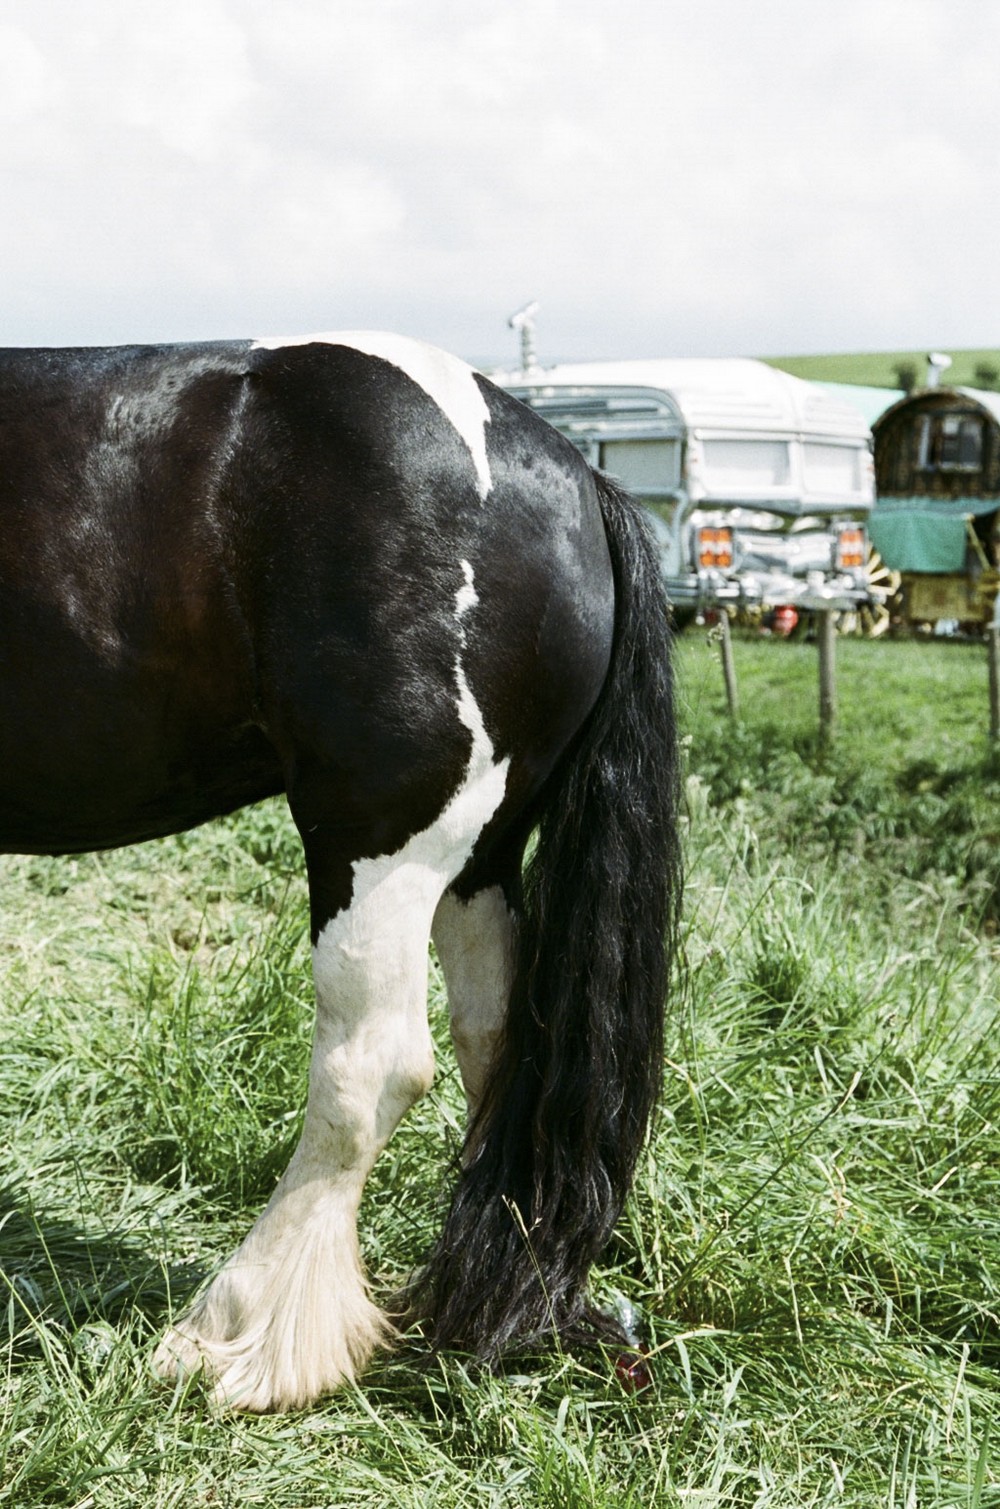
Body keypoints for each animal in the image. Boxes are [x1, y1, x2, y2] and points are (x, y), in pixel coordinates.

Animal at [0, 327, 681, 1400]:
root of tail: (571, 476)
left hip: (377, 847)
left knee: (372, 1069)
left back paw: (243, 1337)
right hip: (478, 860)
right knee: (500, 1039)